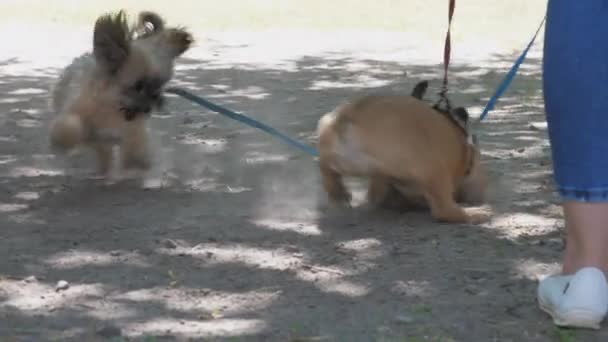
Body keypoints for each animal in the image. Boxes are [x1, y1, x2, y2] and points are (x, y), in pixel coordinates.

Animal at [49, 9, 192, 178]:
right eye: (138, 86)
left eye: (160, 86)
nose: (152, 104)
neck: (113, 106)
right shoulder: (74, 115)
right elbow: (71, 126)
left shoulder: (134, 131)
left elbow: (136, 146)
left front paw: (139, 163)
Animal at [316, 81, 486, 223]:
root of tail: (348, 116)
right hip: (432, 166)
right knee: (442, 210)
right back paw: (475, 213)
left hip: (338, 146)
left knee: (327, 169)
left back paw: (339, 194)